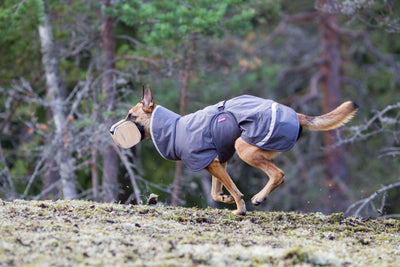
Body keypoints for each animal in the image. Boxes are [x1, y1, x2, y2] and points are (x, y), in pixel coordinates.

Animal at [110, 87, 360, 217]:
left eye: (130, 116)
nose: (111, 130)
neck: (174, 128)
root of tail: (295, 114)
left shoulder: (211, 162)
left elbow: (235, 190)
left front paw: (239, 209)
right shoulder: (218, 162)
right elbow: (216, 192)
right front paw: (226, 198)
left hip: (244, 149)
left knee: (278, 175)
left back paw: (259, 197)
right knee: (277, 175)